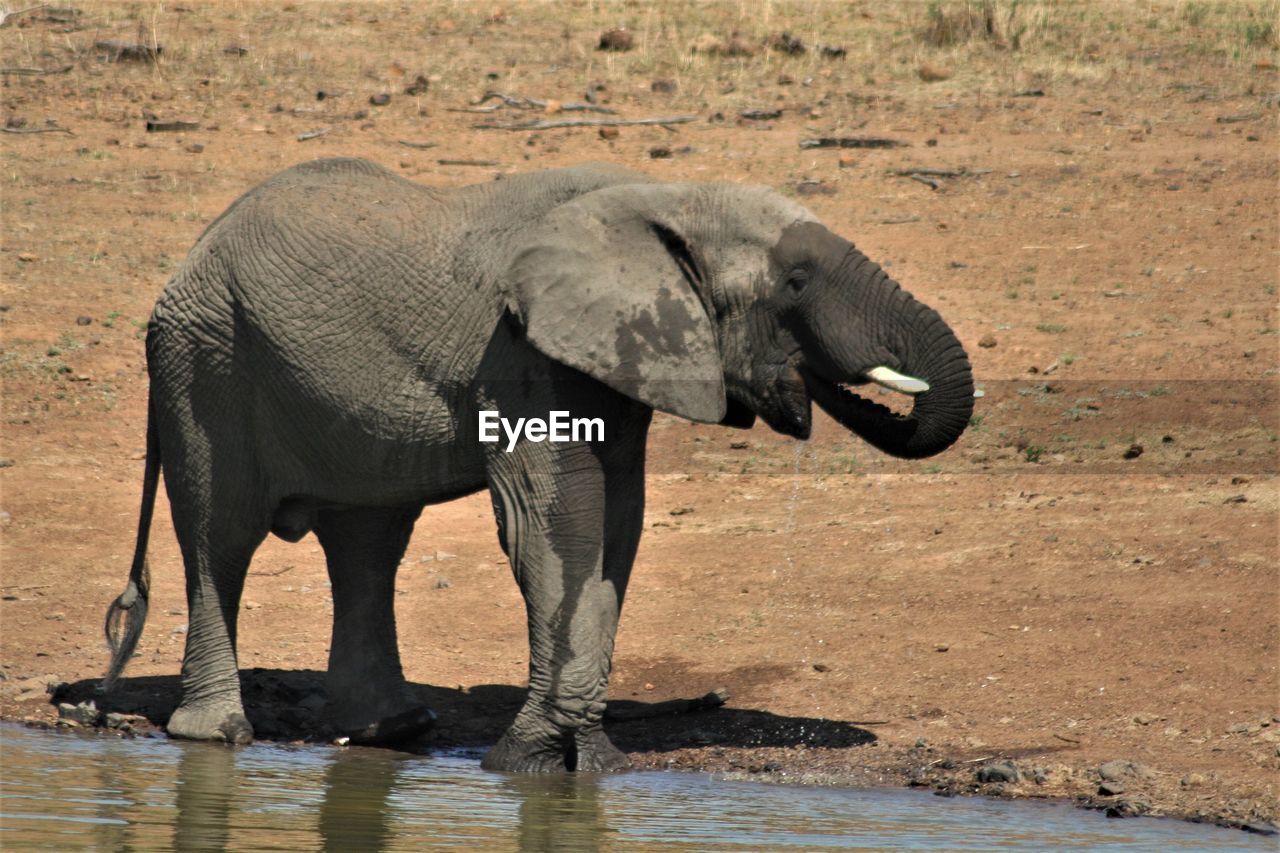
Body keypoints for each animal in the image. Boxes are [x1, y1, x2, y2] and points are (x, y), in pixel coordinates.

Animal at [104, 154, 972, 768]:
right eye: (795, 281)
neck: (667, 197)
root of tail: (187, 259)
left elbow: (617, 526)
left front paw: (590, 760)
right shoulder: (522, 352)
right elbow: (555, 526)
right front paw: (527, 760)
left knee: (368, 541)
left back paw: (393, 727)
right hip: (204, 361)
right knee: (221, 536)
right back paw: (218, 735)